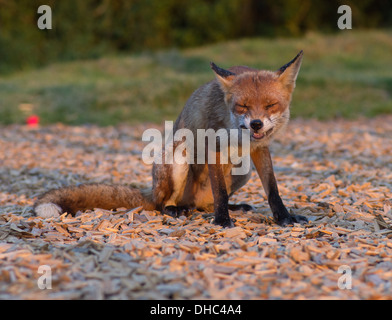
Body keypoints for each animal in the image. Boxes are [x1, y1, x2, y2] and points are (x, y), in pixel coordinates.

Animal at [34, 51, 306, 228]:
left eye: (271, 105)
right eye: (243, 106)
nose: (256, 124)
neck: (238, 134)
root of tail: (152, 192)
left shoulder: (260, 148)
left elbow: (272, 190)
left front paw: (284, 217)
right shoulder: (213, 147)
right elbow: (220, 190)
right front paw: (222, 221)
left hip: (243, 169)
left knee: (205, 204)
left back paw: (228, 207)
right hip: (178, 160)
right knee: (162, 204)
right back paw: (176, 209)